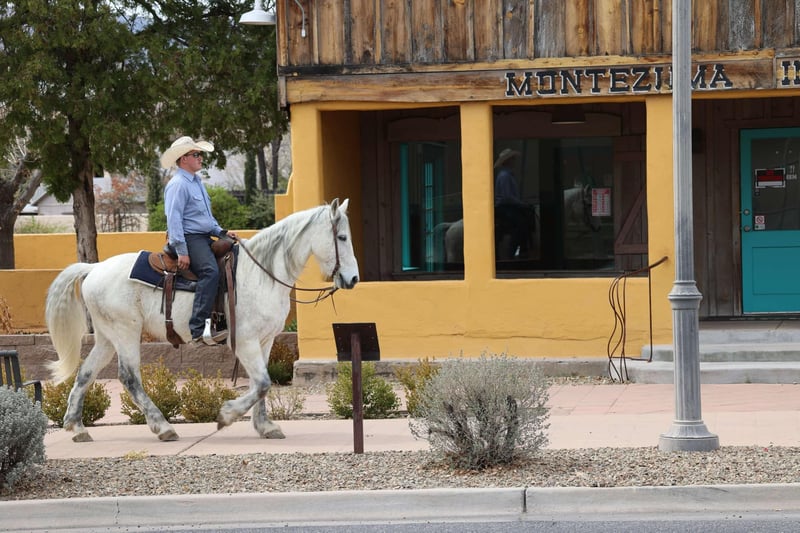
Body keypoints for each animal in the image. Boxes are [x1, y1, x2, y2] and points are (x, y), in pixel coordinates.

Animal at [45, 198, 359, 443]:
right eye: (342, 237)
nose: (353, 279)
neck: (261, 274)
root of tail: (94, 268)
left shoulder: (265, 340)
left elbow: (262, 384)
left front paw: (265, 426)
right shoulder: (245, 341)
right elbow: (262, 383)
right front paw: (226, 415)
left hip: (107, 337)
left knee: (86, 373)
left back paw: (77, 427)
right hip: (125, 333)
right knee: (129, 377)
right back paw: (163, 427)